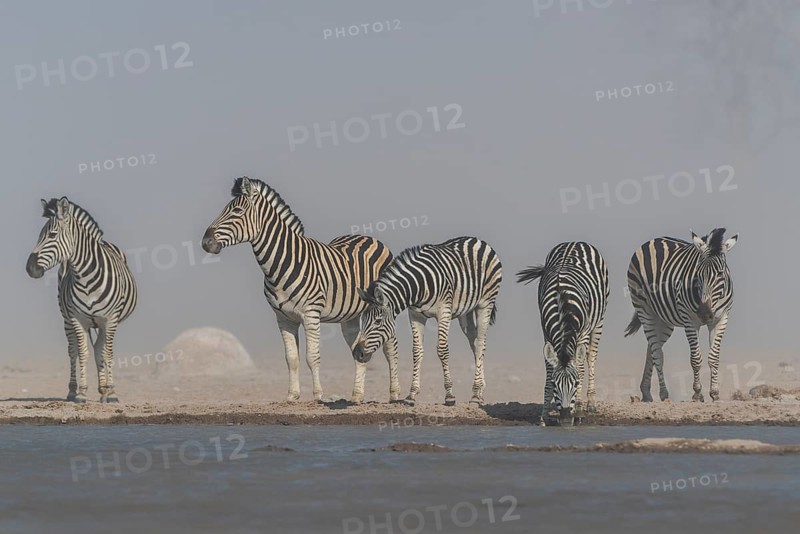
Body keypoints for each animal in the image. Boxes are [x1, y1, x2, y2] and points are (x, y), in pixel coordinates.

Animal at [26, 197, 137, 403]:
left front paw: (112, 393)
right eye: (39, 235)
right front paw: (82, 393)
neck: (85, 277)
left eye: (52, 235)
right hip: (67, 319)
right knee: (73, 350)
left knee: (100, 349)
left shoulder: (110, 320)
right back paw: (73, 390)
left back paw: (105, 391)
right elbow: (82, 352)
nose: (30, 268)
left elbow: (107, 353)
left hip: (102, 323)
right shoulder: (78, 319)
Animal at [201, 176, 400, 403]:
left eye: (237, 211)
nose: (205, 242)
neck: (279, 265)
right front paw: (292, 395)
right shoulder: (284, 318)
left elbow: (312, 357)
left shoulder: (311, 314)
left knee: (390, 348)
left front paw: (318, 395)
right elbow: (291, 358)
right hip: (350, 317)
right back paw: (356, 396)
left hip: (384, 308)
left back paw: (394, 394)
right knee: (359, 351)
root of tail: (370, 238)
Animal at [353, 237, 502, 406]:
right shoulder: (416, 315)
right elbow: (417, 351)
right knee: (475, 342)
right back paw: (480, 391)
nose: (357, 353)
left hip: (485, 303)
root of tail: (476, 239)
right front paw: (412, 394)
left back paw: (476, 394)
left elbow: (442, 350)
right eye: (363, 320)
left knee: (481, 344)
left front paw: (449, 395)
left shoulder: (444, 311)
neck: (418, 287)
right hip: (466, 312)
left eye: (377, 322)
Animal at [517, 242, 609, 426]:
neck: (561, 304)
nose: (566, 420)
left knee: (591, 358)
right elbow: (548, 371)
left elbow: (580, 368)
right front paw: (543, 415)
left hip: (599, 321)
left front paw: (579, 411)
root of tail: (575, 241)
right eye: (555, 384)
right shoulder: (546, 334)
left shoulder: (583, 333)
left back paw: (591, 404)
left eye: (576, 382)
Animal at [625, 228, 738, 403]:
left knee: (652, 348)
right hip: (645, 310)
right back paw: (664, 394)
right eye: (698, 273)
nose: (704, 314)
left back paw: (646, 393)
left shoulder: (721, 319)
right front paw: (697, 393)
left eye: (720, 274)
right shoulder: (690, 321)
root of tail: (654, 240)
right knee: (657, 353)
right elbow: (696, 358)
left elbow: (714, 357)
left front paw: (715, 393)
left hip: (663, 320)